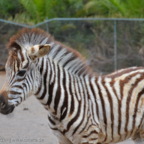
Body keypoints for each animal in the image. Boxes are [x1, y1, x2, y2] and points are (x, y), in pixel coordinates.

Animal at [0, 28, 143, 144]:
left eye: (21, 72)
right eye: (5, 70)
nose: (1, 103)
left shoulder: (89, 137)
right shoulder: (62, 139)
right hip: (138, 133)